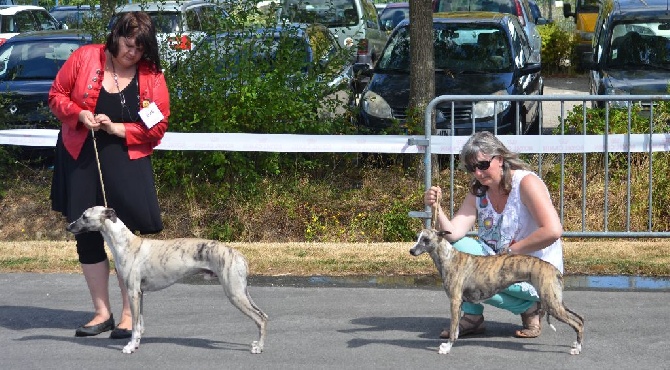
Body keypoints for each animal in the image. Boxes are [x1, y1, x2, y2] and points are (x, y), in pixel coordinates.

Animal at [66, 207, 268, 354]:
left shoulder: (132, 292)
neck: (126, 244)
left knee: (260, 318)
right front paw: (136, 344)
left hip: (234, 293)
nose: (68, 227)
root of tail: (239, 255)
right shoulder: (140, 293)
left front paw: (130, 347)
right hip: (241, 291)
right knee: (263, 315)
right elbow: (139, 324)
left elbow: (134, 325)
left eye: (84, 216)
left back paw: (258, 347)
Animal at [410, 228, 584, 356]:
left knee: (578, 323)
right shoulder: (459, 304)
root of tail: (555, 270)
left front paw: (447, 348)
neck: (449, 258)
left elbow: (453, 330)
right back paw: (576, 345)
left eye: (425, 240)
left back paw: (576, 348)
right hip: (555, 302)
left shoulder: (454, 302)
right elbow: (457, 329)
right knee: (580, 320)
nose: (411, 251)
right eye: (417, 237)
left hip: (552, 303)